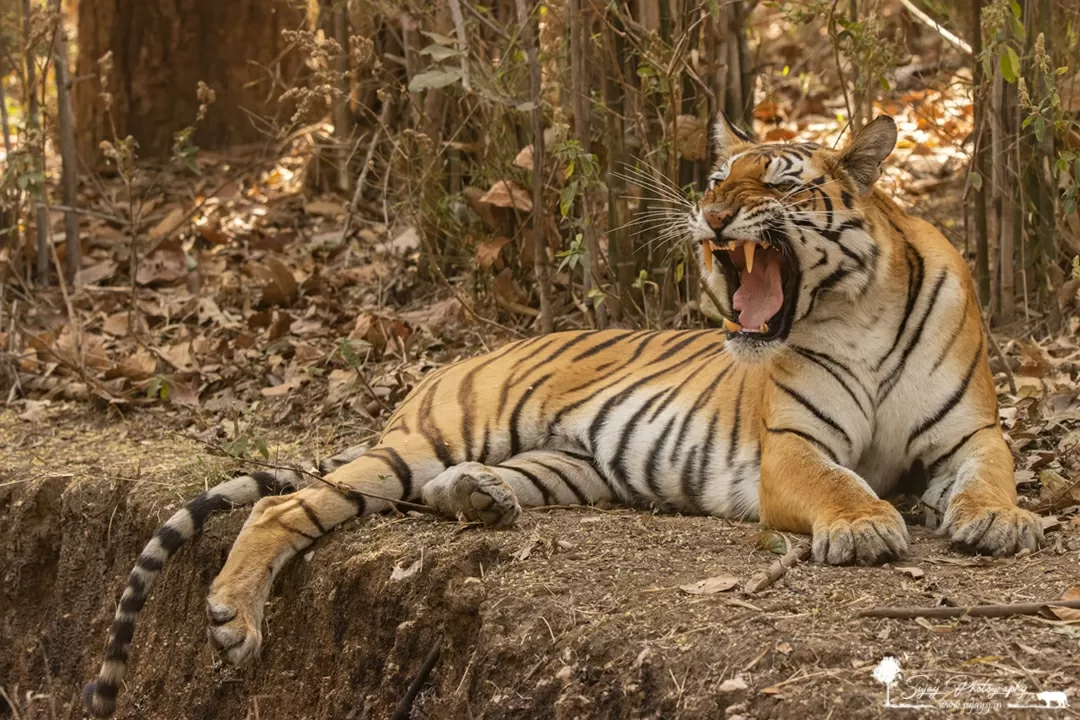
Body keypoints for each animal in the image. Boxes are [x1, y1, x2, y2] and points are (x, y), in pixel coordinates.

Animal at [79, 112, 1041, 716]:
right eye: (717, 176)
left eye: (781, 180)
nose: (709, 213)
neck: (857, 310)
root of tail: (441, 368)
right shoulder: (791, 447)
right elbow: (841, 486)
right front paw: (866, 527)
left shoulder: (973, 434)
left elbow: (992, 477)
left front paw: (999, 521)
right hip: (425, 442)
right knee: (287, 506)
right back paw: (233, 617)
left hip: (564, 463)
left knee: (443, 493)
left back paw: (483, 500)